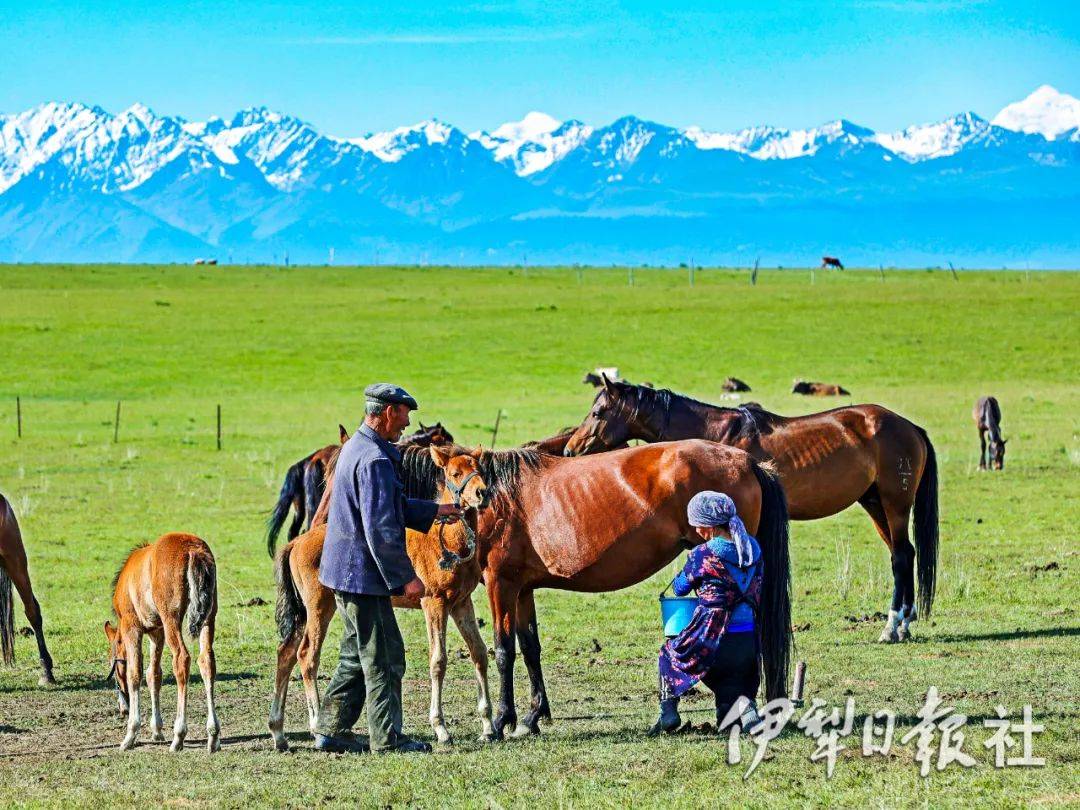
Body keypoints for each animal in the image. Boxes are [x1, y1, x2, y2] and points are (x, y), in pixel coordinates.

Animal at [104, 533, 220, 756]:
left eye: (115, 664)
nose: (123, 708)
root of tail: (193, 549)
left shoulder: (132, 627)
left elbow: (135, 674)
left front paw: (130, 734)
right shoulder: (156, 632)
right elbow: (153, 674)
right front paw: (156, 730)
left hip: (171, 618)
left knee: (182, 659)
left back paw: (179, 736)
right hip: (209, 617)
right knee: (206, 661)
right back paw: (213, 735)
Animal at [565, 382, 937, 648]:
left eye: (598, 411)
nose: (570, 450)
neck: (717, 437)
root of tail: (909, 426)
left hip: (894, 504)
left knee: (901, 557)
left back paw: (892, 626)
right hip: (874, 504)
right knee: (904, 554)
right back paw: (905, 622)